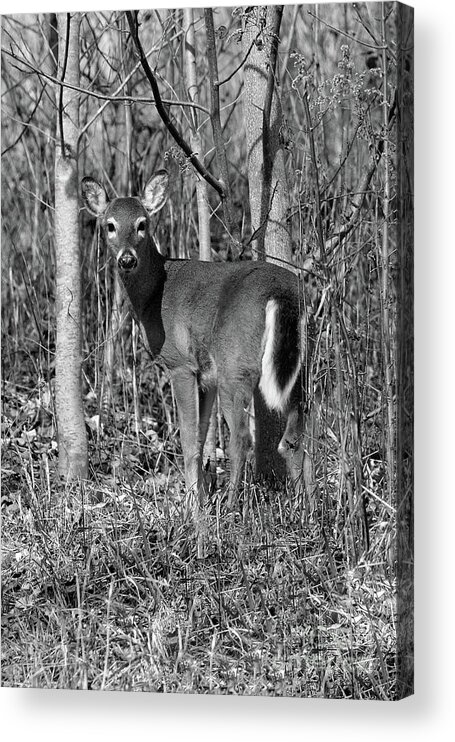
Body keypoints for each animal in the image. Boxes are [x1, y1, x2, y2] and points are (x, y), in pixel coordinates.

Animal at [81, 170, 314, 516]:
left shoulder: (180, 363)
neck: (154, 296)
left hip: (235, 364)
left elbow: (189, 439)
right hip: (297, 366)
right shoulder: (207, 377)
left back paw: (232, 507)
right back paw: (310, 508)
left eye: (142, 224)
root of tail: (281, 292)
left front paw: (192, 506)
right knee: (296, 431)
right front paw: (199, 498)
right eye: (109, 225)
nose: (126, 259)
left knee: (241, 437)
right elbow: (203, 436)